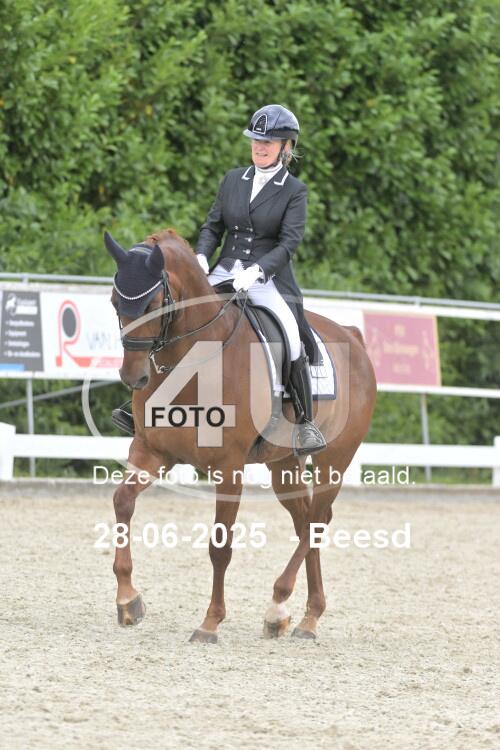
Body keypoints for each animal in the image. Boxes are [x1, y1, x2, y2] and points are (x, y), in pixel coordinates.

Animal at [105, 227, 376, 642]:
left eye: (153, 303)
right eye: (115, 300)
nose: (133, 377)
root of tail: (353, 337)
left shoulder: (229, 466)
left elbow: (220, 545)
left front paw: (210, 622)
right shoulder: (152, 451)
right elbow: (122, 502)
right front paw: (128, 600)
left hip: (336, 459)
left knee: (316, 521)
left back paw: (282, 605)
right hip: (284, 465)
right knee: (305, 520)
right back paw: (302, 616)